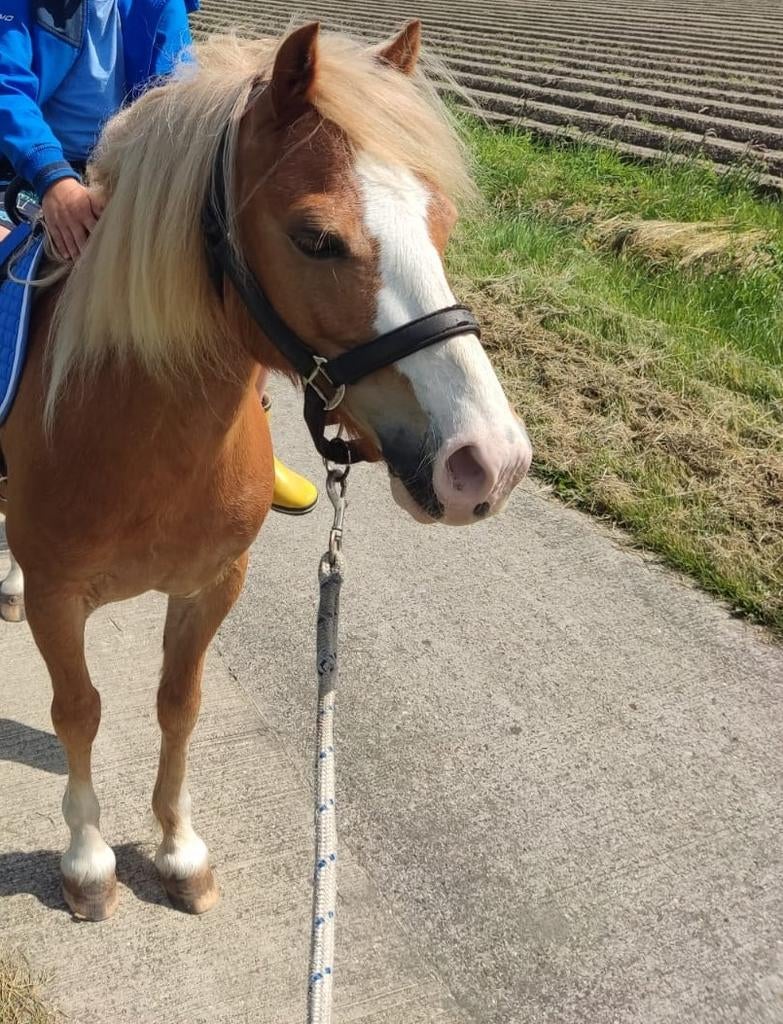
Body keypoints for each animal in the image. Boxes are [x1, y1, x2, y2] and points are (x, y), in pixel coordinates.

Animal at [0, 20, 532, 921]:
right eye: (315, 238)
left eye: (441, 221)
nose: (487, 461)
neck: (139, 438)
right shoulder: (57, 597)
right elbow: (79, 711)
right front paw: (89, 861)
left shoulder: (214, 584)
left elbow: (179, 706)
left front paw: (178, 848)